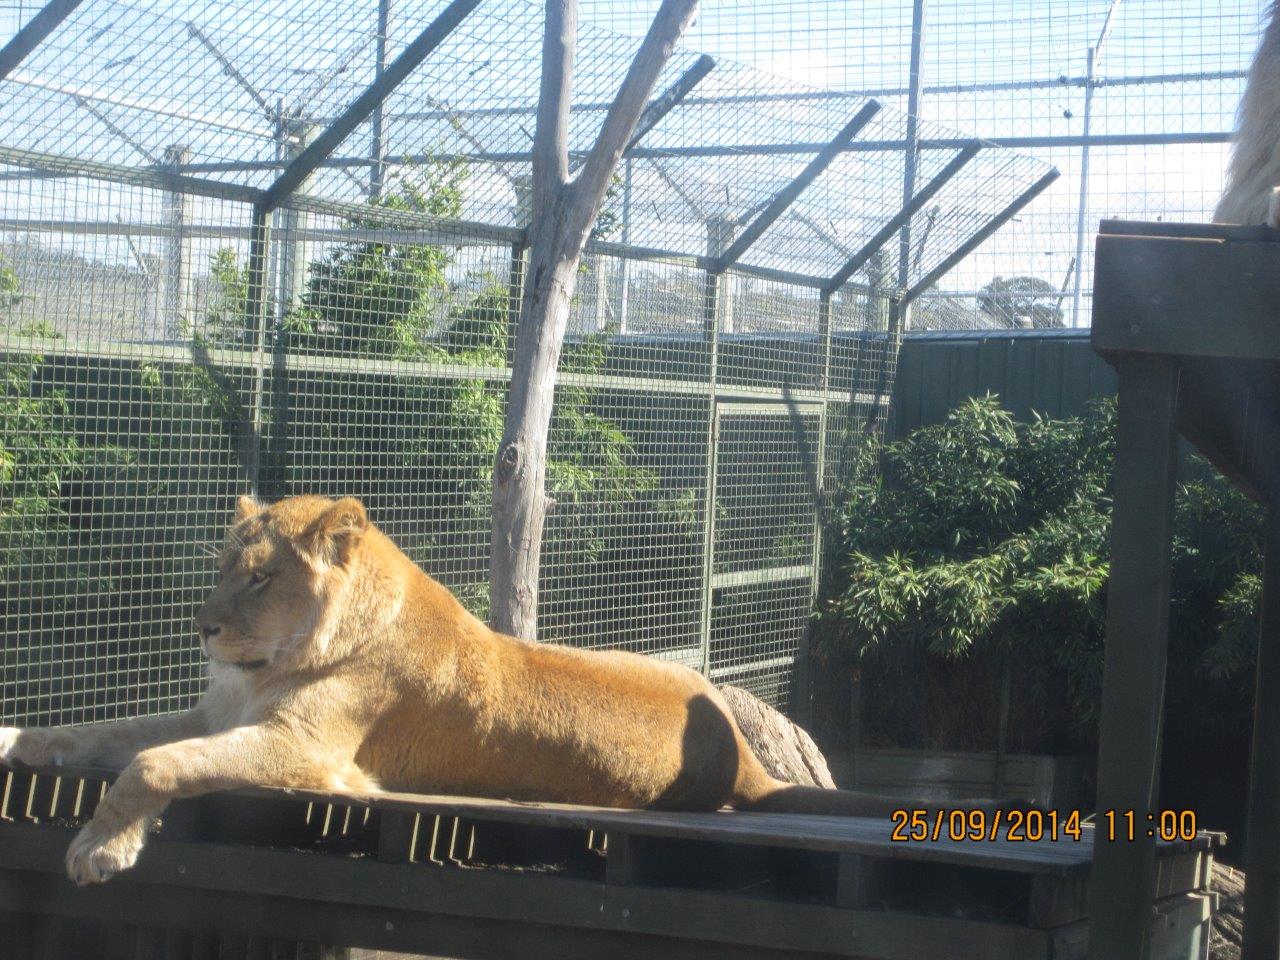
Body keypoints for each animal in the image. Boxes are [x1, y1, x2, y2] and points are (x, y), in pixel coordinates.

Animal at [1, 494, 921, 885]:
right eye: (224, 567)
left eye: (260, 578)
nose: (202, 629)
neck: (272, 664)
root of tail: (742, 761)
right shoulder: (212, 709)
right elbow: (94, 734)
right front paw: (14, 738)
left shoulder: (311, 751)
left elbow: (156, 763)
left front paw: (99, 849)